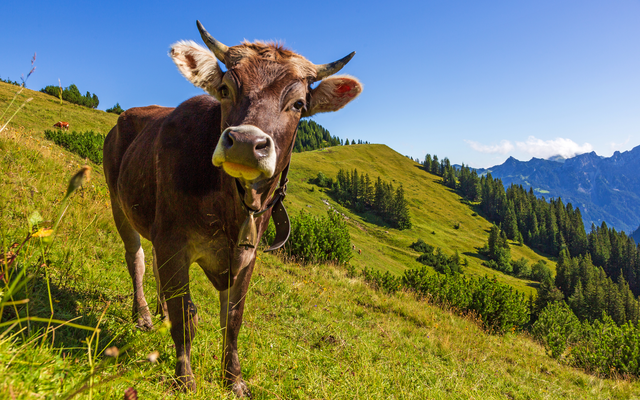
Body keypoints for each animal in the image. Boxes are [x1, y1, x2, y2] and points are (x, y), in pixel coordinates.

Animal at [103, 20, 361, 397]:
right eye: (225, 89)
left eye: (298, 103)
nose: (245, 143)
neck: (232, 205)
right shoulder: (174, 241)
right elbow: (185, 316)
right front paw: (185, 378)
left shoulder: (246, 255)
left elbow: (233, 320)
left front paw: (234, 380)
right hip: (118, 202)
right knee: (136, 258)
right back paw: (145, 316)